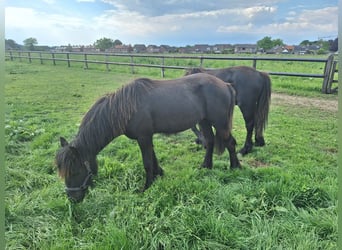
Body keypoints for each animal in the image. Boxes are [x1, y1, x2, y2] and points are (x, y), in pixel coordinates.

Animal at [54, 73, 239, 202]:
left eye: (75, 171)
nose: (73, 199)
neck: (125, 107)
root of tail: (226, 85)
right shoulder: (147, 137)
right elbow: (153, 158)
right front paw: (159, 174)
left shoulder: (143, 137)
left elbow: (147, 163)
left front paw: (146, 187)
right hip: (204, 121)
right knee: (210, 141)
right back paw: (206, 167)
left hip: (220, 124)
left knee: (230, 143)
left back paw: (235, 167)